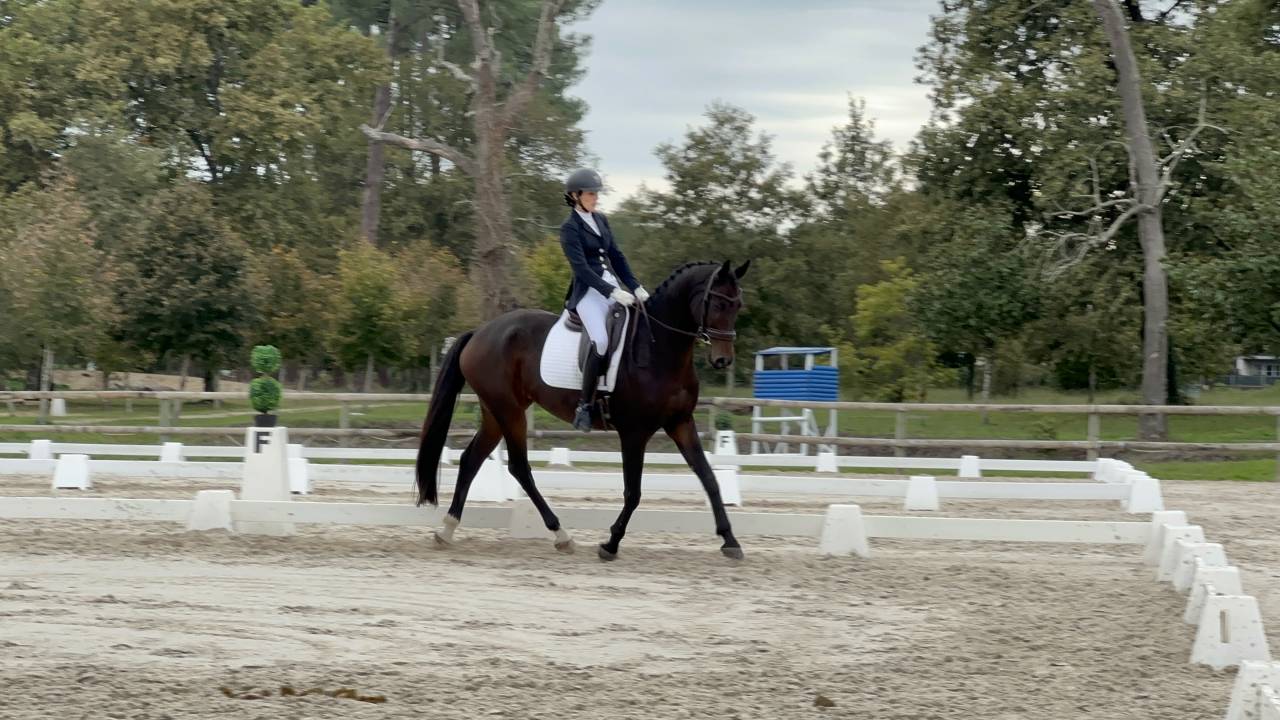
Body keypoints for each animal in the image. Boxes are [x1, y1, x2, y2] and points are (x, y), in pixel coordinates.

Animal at [415, 259, 750, 561]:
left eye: (737, 305)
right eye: (718, 303)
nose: (723, 360)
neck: (658, 347)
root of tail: (480, 332)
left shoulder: (681, 423)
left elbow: (709, 478)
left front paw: (730, 541)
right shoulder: (634, 432)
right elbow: (633, 492)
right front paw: (611, 544)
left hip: (496, 411)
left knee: (472, 459)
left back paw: (447, 530)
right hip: (509, 412)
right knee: (519, 467)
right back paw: (561, 535)